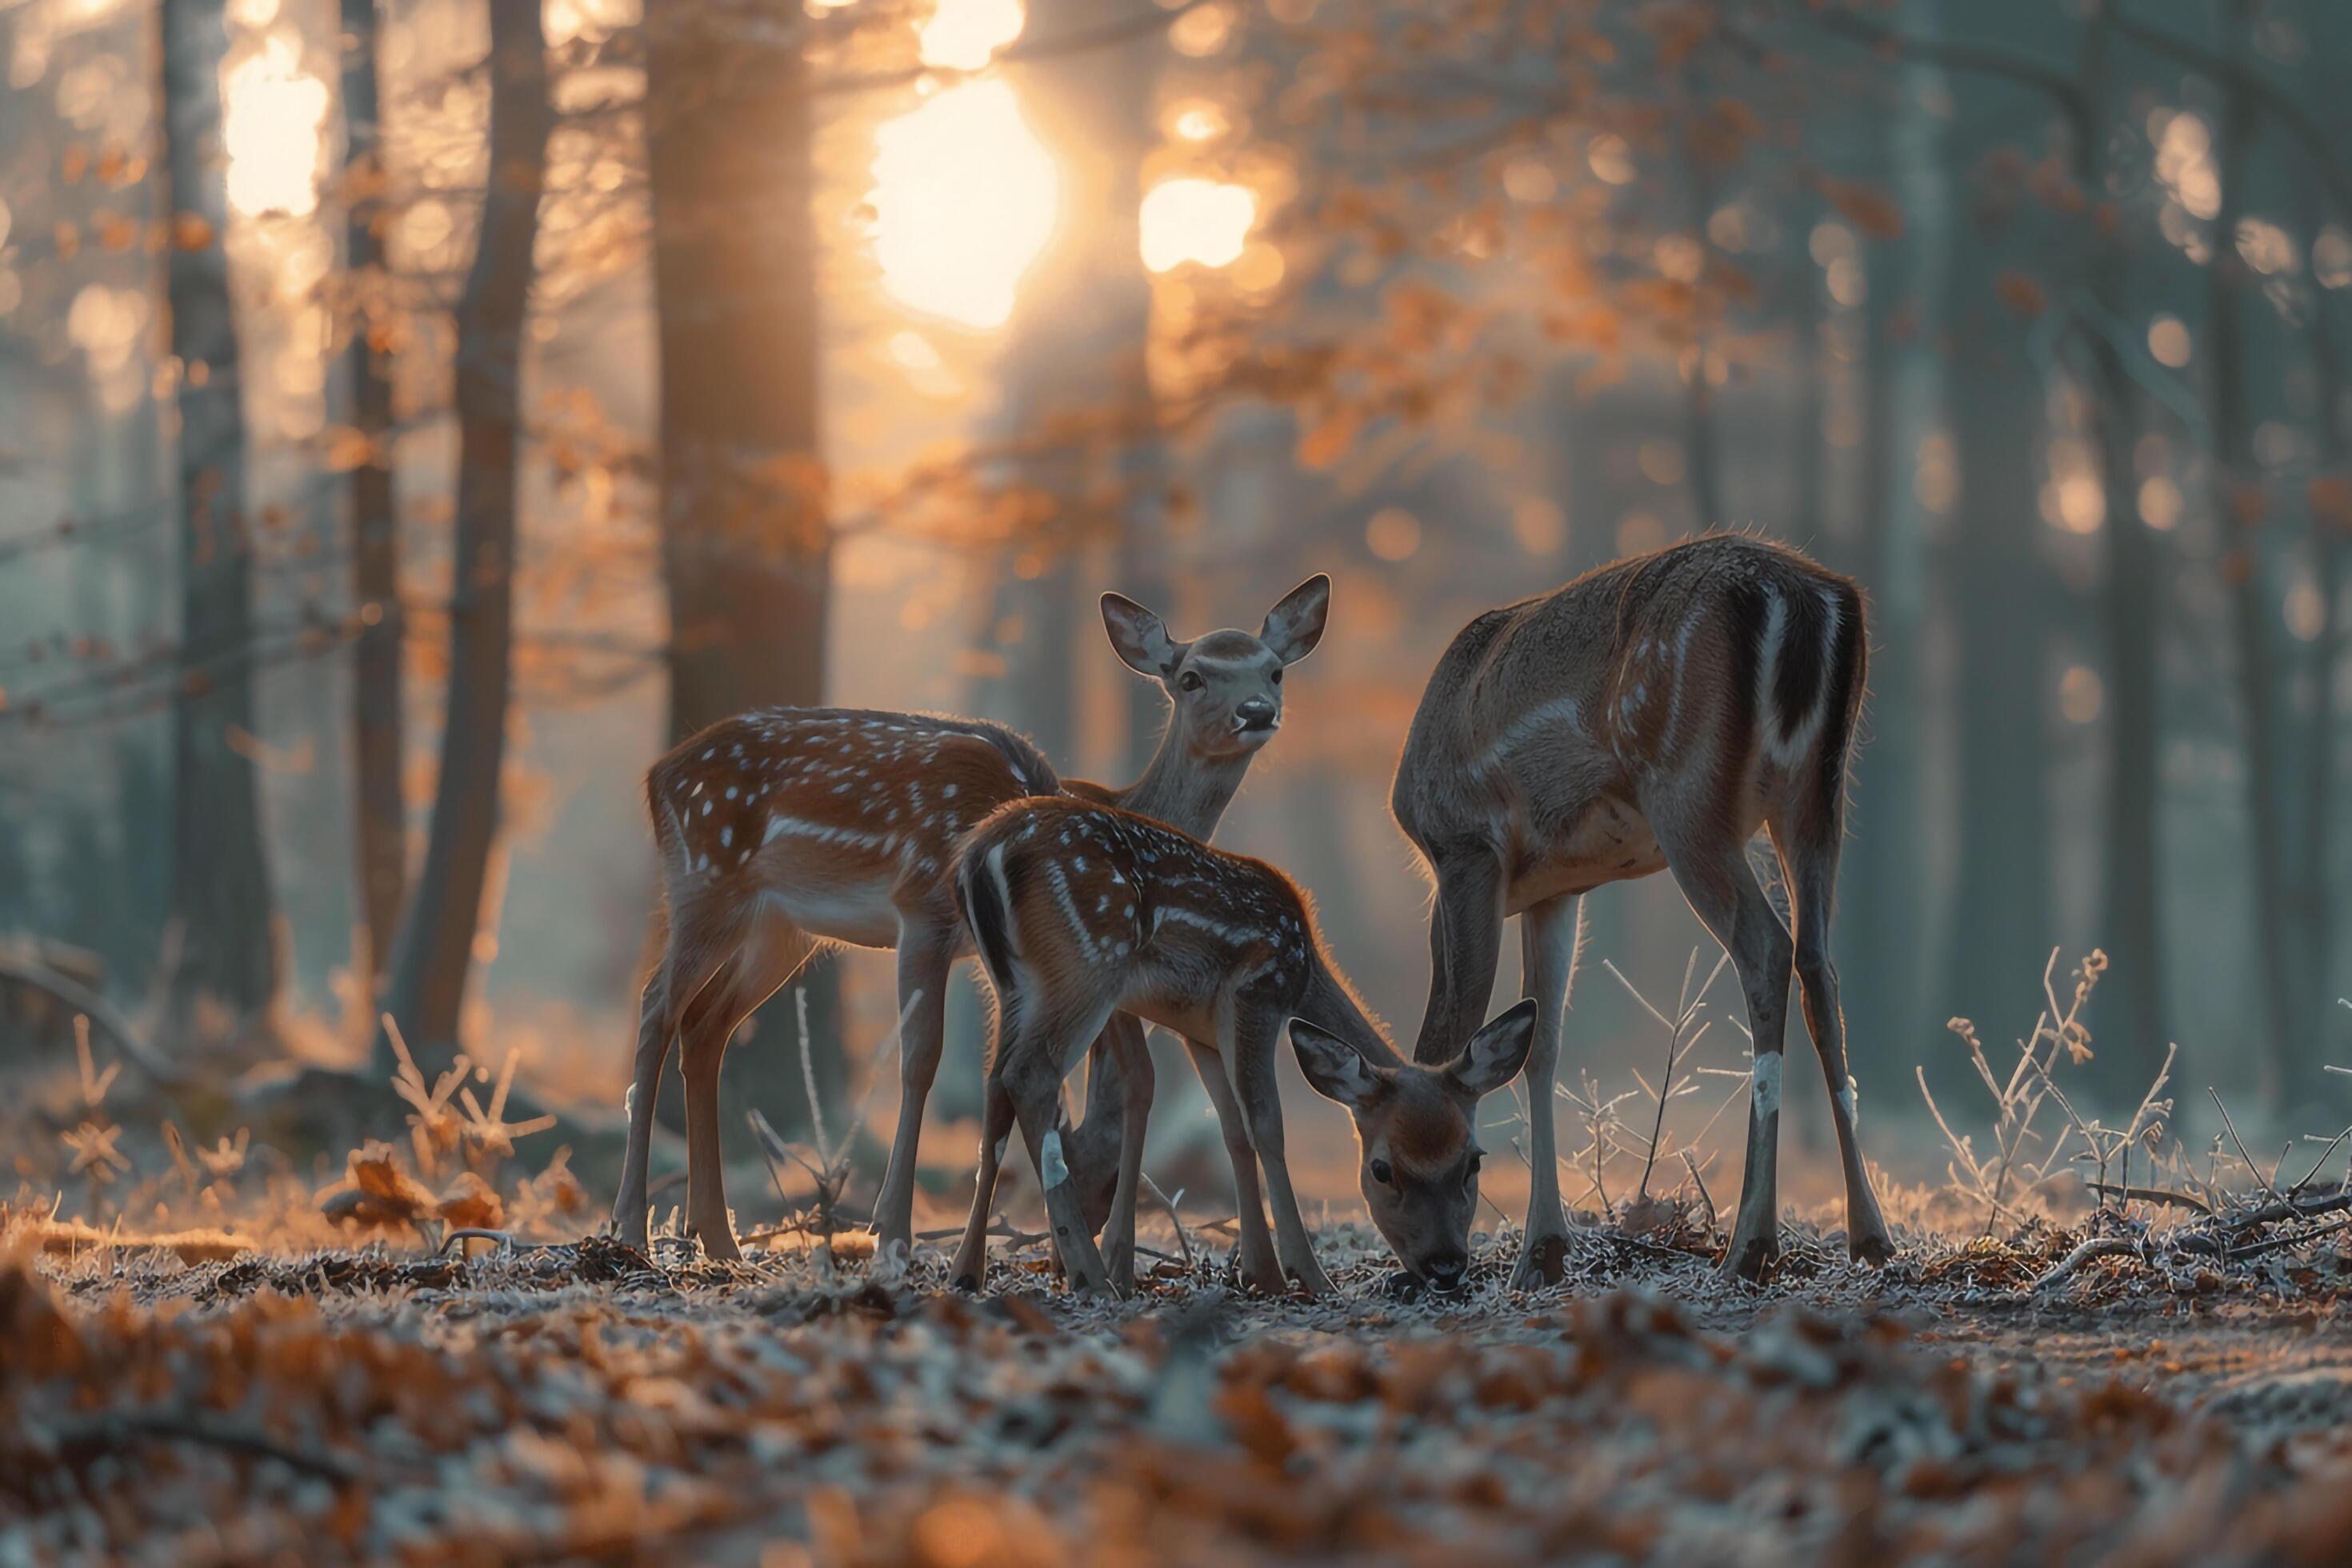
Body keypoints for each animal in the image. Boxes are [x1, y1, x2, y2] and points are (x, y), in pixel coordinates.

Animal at [616, 574, 1335, 1260]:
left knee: (705, 1027)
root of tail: (655, 776)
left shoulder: (1009, 960)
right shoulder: (923, 909)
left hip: (780, 928)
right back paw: (630, 1227)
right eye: (1190, 676)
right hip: (705, 881)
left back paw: (718, 1237)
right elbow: (923, 1059)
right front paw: (893, 1230)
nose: (1256, 712)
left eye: (1274, 669)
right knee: (657, 1007)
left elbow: (1043, 1081)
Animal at [950, 799, 1542, 1298]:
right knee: (1029, 1075)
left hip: (1012, 986)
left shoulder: (1199, 1027)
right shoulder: (1257, 991)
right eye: (1382, 1169)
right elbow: (1267, 1125)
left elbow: (1232, 1128)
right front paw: (1308, 1275)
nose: (1445, 1265)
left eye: (1472, 1162)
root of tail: (981, 855)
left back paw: (967, 1270)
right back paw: (1090, 1276)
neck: (1305, 969)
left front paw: (1259, 1272)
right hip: (1088, 965)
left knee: (995, 1087)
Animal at [1392, 534, 1890, 1278]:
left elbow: (1453, 1035)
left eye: (1384, 1166)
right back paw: (1871, 1236)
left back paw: (1750, 1244)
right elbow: (1542, 1045)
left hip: (1687, 791)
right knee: (1819, 966)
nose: (1427, 1263)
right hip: (1820, 791)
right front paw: (1542, 1251)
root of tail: (1805, 601)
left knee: (1767, 949)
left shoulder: (1465, 848)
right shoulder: (1555, 888)